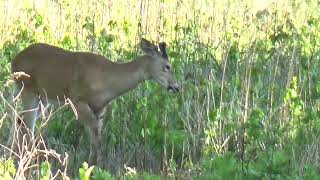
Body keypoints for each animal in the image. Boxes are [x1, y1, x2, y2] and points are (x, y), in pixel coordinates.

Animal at [10, 38, 180, 166]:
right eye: (167, 66)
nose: (176, 87)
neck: (109, 80)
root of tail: (14, 61)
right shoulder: (77, 100)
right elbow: (96, 138)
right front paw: (90, 165)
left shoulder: (99, 108)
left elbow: (96, 138)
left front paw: (94, 165)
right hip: (28, 90)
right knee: (27, 126)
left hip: (43, 99)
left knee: (19, 121)